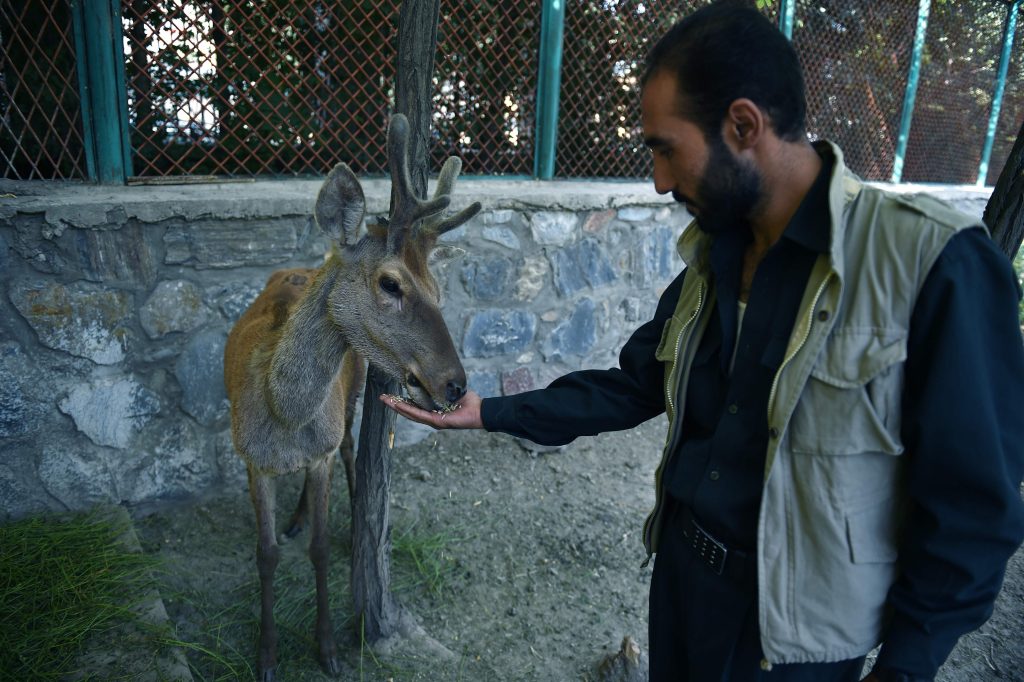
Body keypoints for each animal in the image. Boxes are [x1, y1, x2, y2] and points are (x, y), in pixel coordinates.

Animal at [224, 111, 479, 675]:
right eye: (391, 284)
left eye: (438, 289)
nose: (455, 382)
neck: (282, 416)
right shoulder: (249, 458)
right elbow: (264, 554)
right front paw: (267, 655)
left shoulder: (318, 446)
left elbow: (320, 548)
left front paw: (327, 649)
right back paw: (295, 518)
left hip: (355, 390)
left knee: (346, 445)